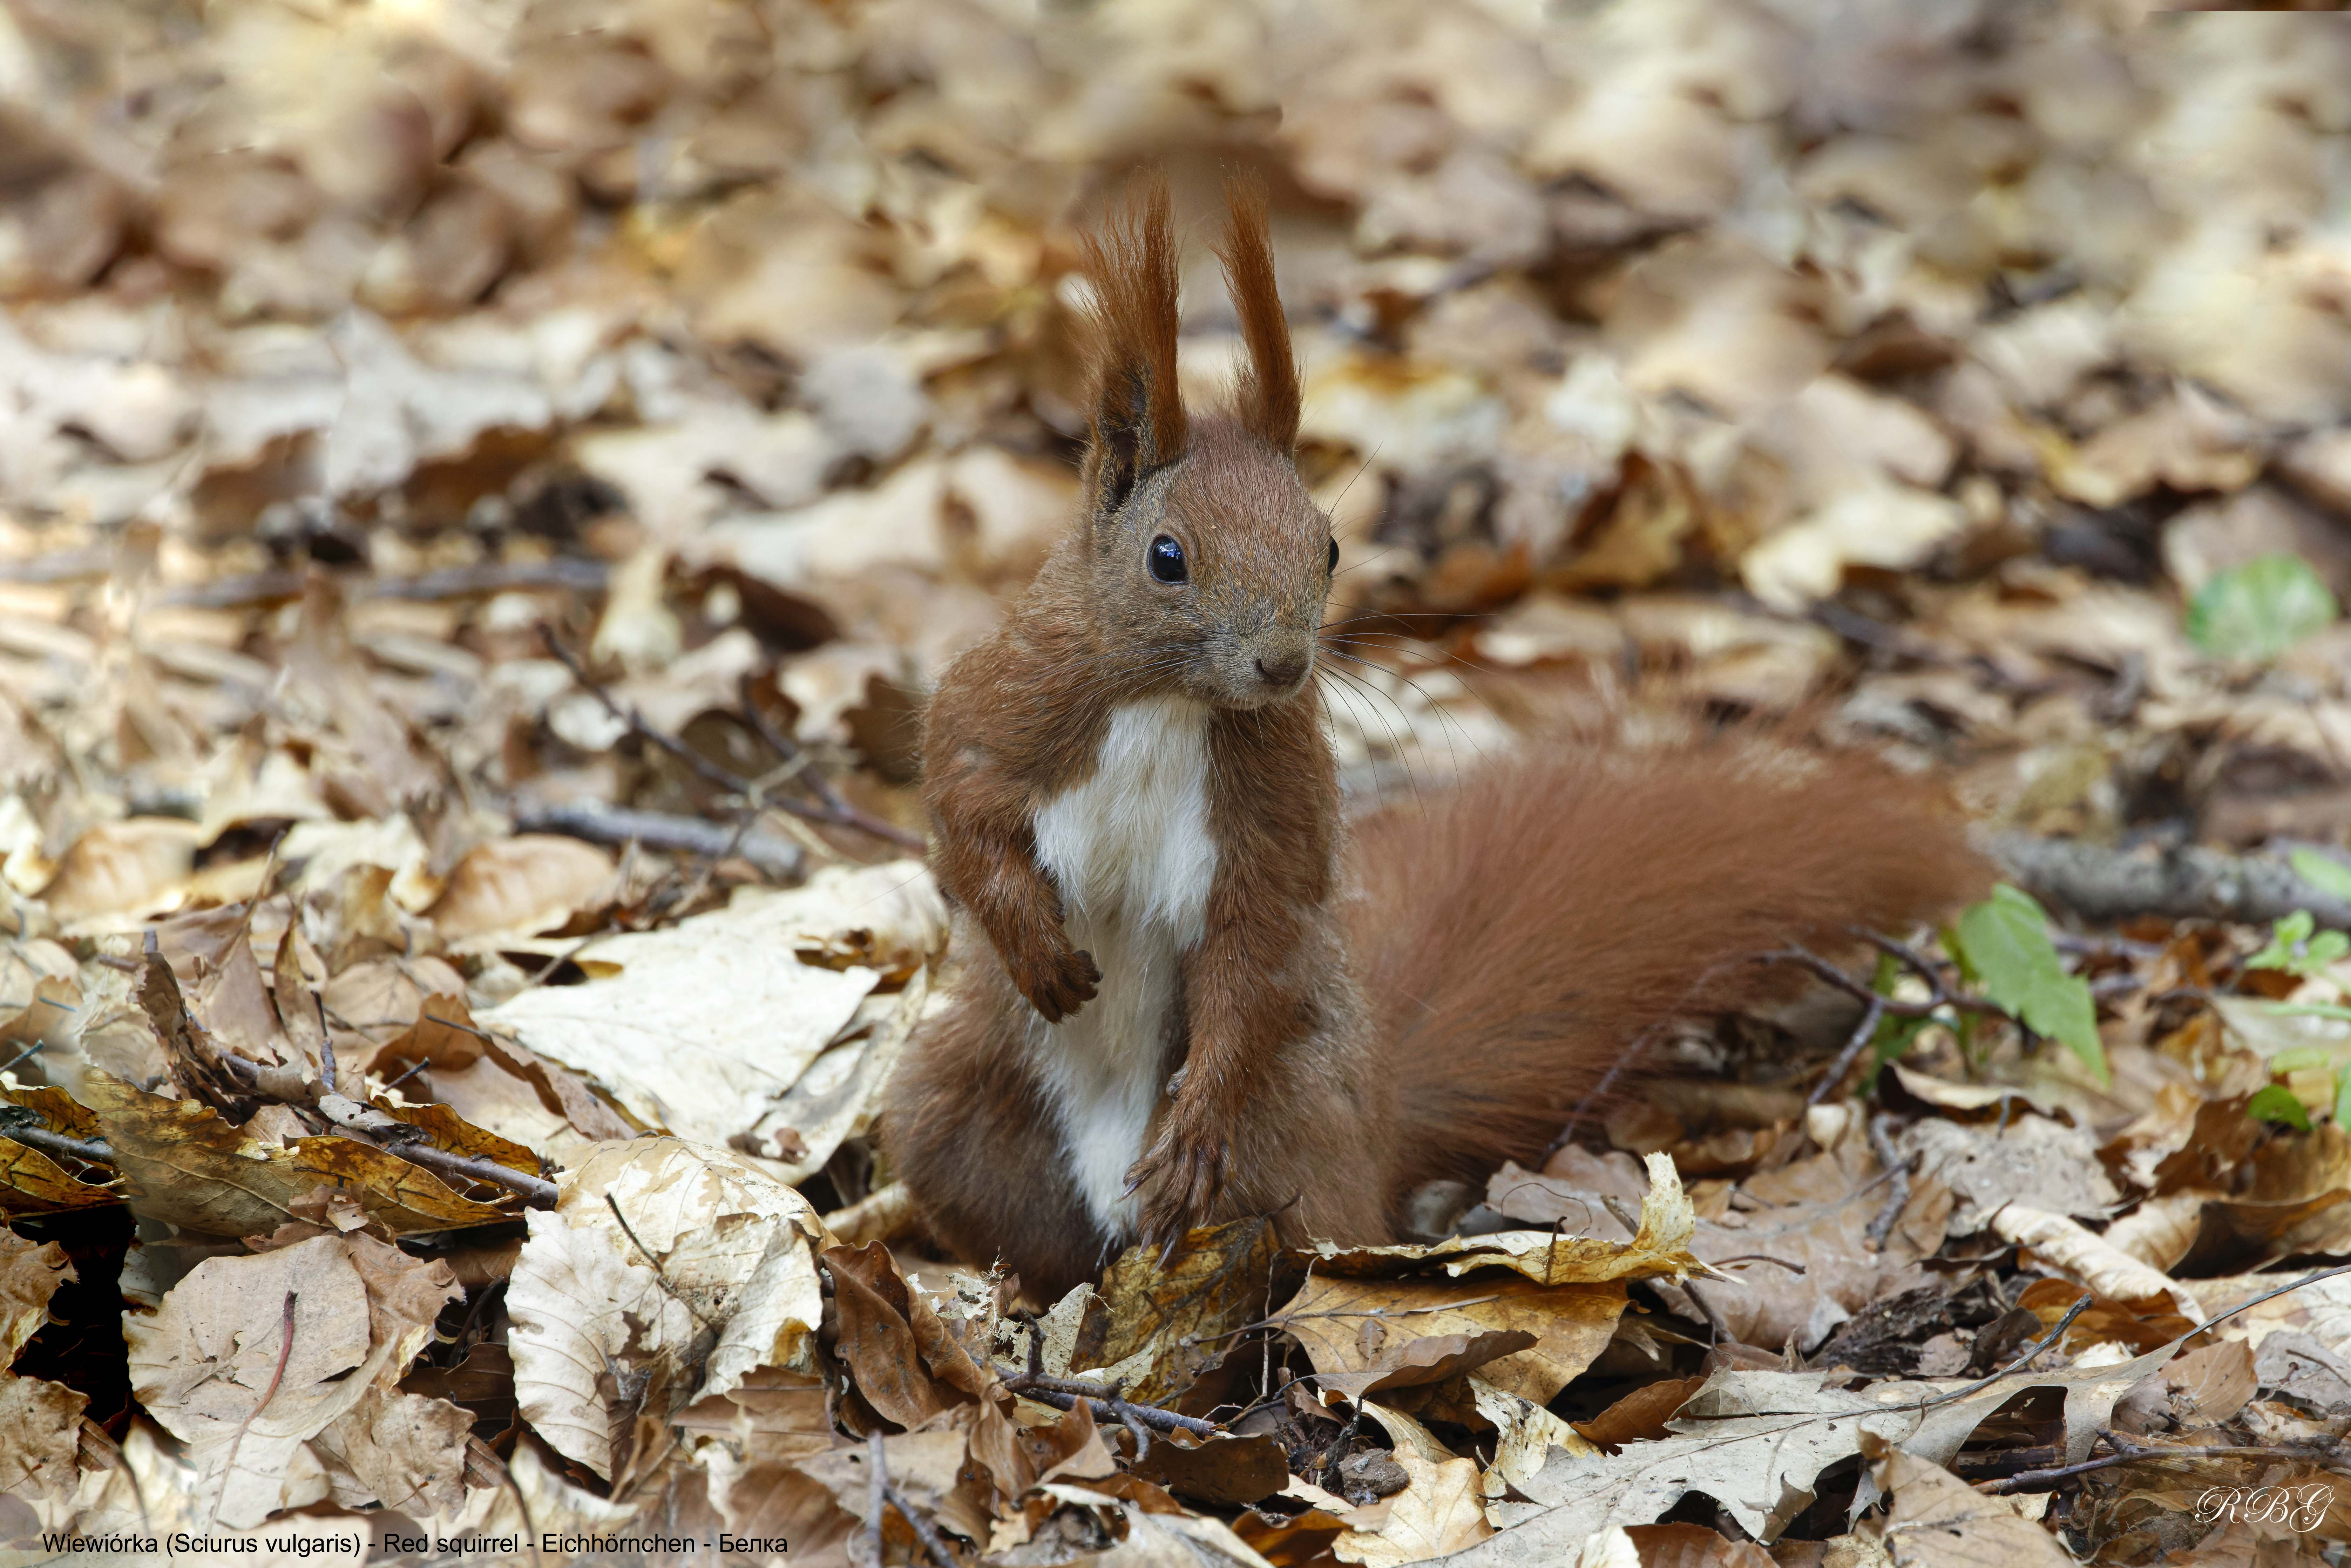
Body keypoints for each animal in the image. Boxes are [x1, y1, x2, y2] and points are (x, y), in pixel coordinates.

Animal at [882, 173, 1989, 1305]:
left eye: (1328, 546)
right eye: (1166, 557)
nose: (1281, 666)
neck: (1170, 703)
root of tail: (1377, 1126)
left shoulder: (1271, 805)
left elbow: (1257, 941)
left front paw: (1194, 1127)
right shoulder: (1017, 695)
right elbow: (961, 798)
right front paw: (1032, 942)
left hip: (1289, 1123)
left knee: (1301, 1234)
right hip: (949, 1111)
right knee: (1004, 1209)